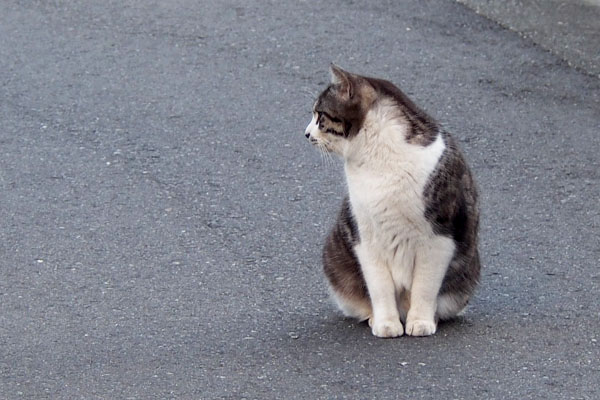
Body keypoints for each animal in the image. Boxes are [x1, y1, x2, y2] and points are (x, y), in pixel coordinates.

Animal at [302, 65, 480, 338]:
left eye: (320, 115)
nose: (306, 133)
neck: (378, 159)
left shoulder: (440, 236)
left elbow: (425, 287)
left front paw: (421, 322)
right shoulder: (365, 236)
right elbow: (379, 286)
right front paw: (386, 323)